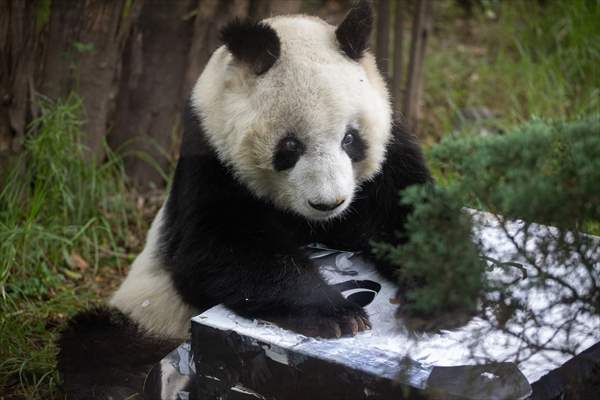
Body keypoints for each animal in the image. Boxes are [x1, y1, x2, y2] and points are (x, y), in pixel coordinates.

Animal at [57, 1, 432, 398]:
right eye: (290, 147)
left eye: (350, 139)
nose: (328, 204)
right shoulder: (212, 157)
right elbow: (220, 248)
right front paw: (339, 315)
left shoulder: (389, 152)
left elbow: (405, 215)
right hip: (149, 311)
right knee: (100, 344)